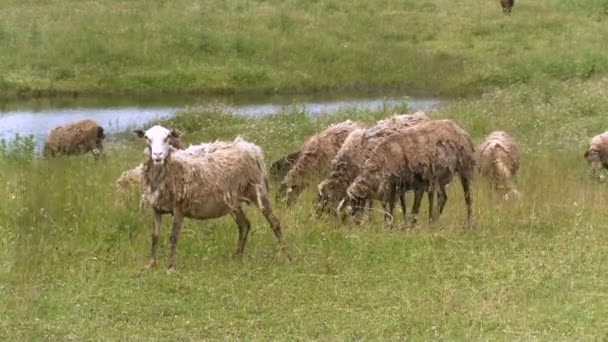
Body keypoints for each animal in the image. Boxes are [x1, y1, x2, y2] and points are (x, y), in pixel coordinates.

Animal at [134, 125, 286, 272]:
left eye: (168, 137)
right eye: (147, 138)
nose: (157, 155)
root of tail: (251, 147)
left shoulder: (179, 207)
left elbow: (173, 237)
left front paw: (171, 267)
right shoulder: (157, 208)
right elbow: (154, 236)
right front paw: (151, 264)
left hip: (258, 190)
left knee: (275, 222)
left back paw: (284, 255)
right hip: (233, 201)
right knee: (244, 225)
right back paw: (237, 256)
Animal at [338, 119, 476, 228]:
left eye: (353, 202)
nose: (355, 223)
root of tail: (459, 129)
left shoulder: (405, 185)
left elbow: (399, 208)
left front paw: (393, 226)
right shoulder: (406, 186)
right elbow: (401, 207)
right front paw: (406, 225)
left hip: (464, 168)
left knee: (468, 198)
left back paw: (469, 223)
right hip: (441, 177)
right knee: (443, 197)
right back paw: (434, 221)